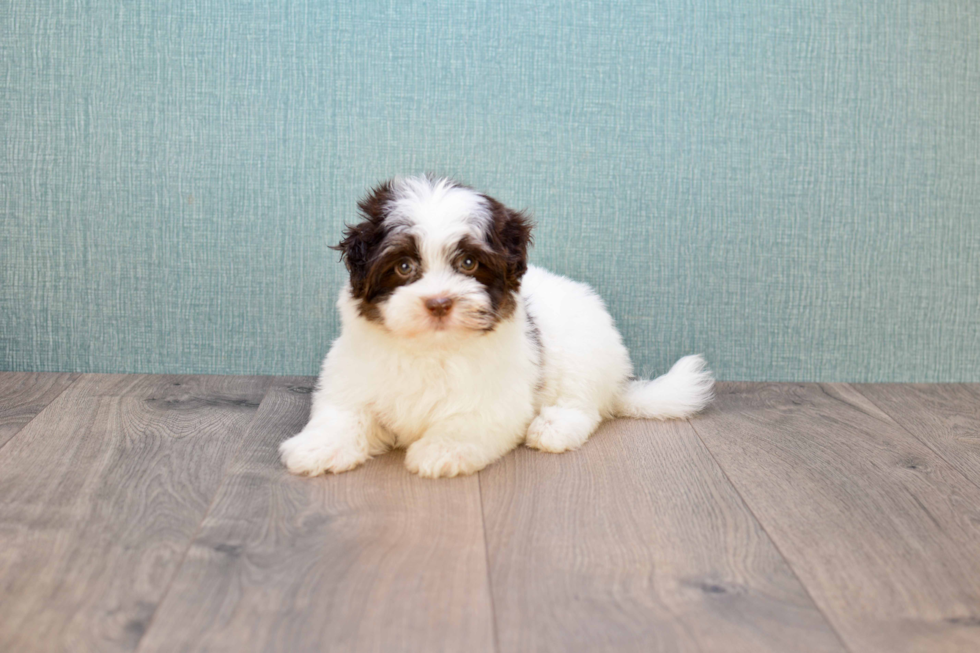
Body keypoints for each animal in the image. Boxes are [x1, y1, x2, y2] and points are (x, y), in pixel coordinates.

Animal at [280, 176, 716, 476]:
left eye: (469, 263)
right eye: (403, 266)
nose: (439, 303)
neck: (432, 349)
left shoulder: (492, 399)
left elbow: (465, 422)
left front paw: (442, 451)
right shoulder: (354, 379)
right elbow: (343, 415)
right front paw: (316, 448)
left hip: (584, 353)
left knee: (584, 404)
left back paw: (556, 427)